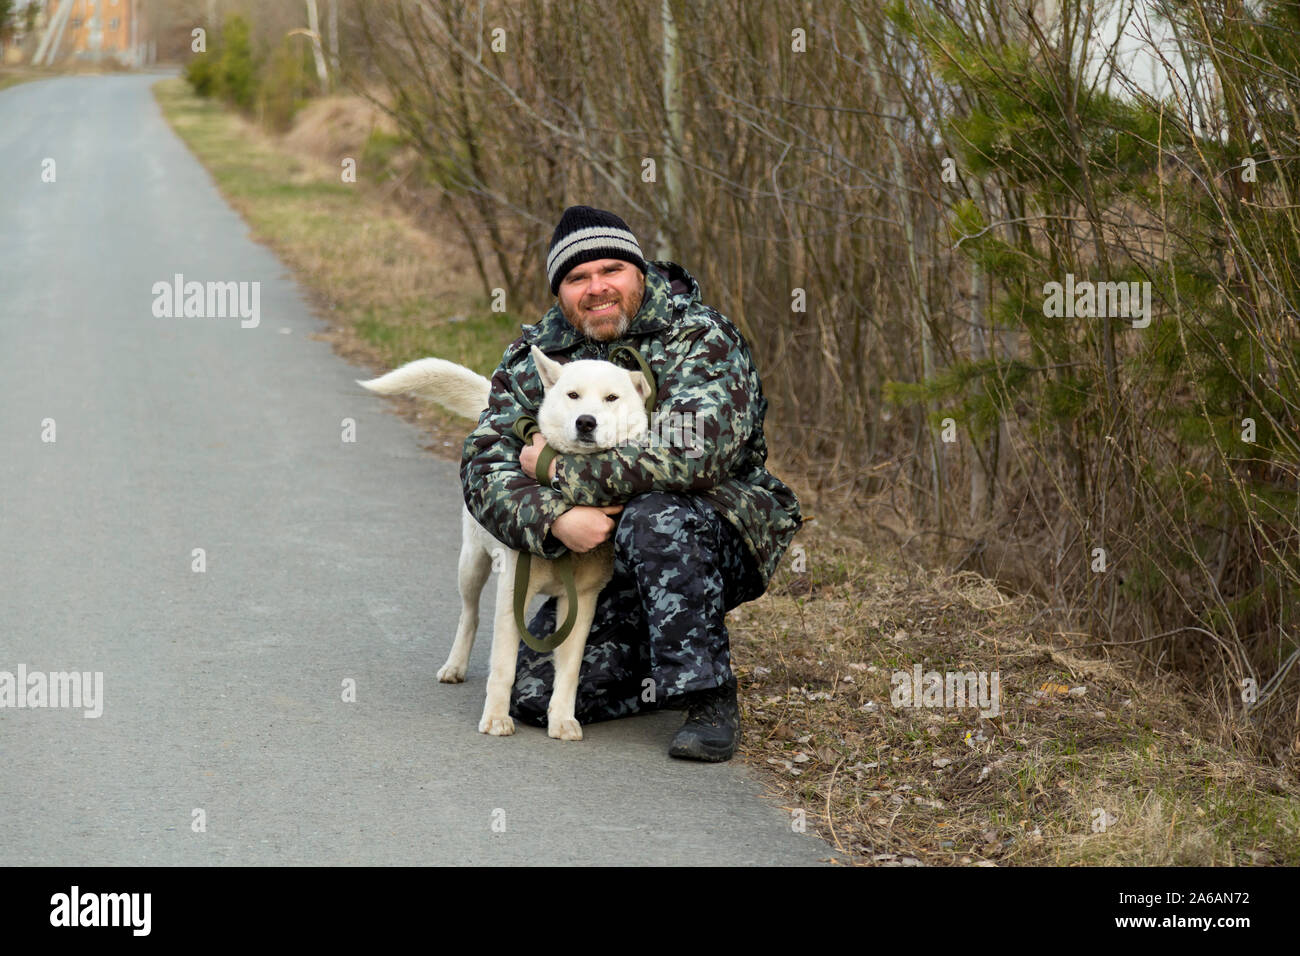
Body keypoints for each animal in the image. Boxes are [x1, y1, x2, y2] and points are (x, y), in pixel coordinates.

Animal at [361, 348, 650, 743]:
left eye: (611, 398)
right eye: (573, 395)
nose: (586, 422)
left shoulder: (582, 602)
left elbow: (569, 672)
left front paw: (562, 720)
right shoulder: (513, 591)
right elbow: (503, 666)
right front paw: (496, 718)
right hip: (472, 565)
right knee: (470, 615)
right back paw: (455, 666)